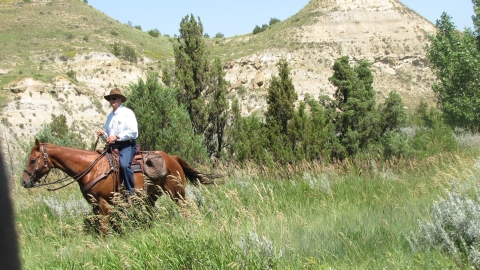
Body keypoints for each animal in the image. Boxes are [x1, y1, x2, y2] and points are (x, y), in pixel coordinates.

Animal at [20, 139, 212, 230]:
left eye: (32, 160)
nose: (24, 181)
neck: (91, 168)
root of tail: (172, 158)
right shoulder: (95, 205)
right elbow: (101, 226)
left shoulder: (104, 203)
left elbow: (104, 227)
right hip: (152, 196)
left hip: (176, 192)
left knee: (185, 209)